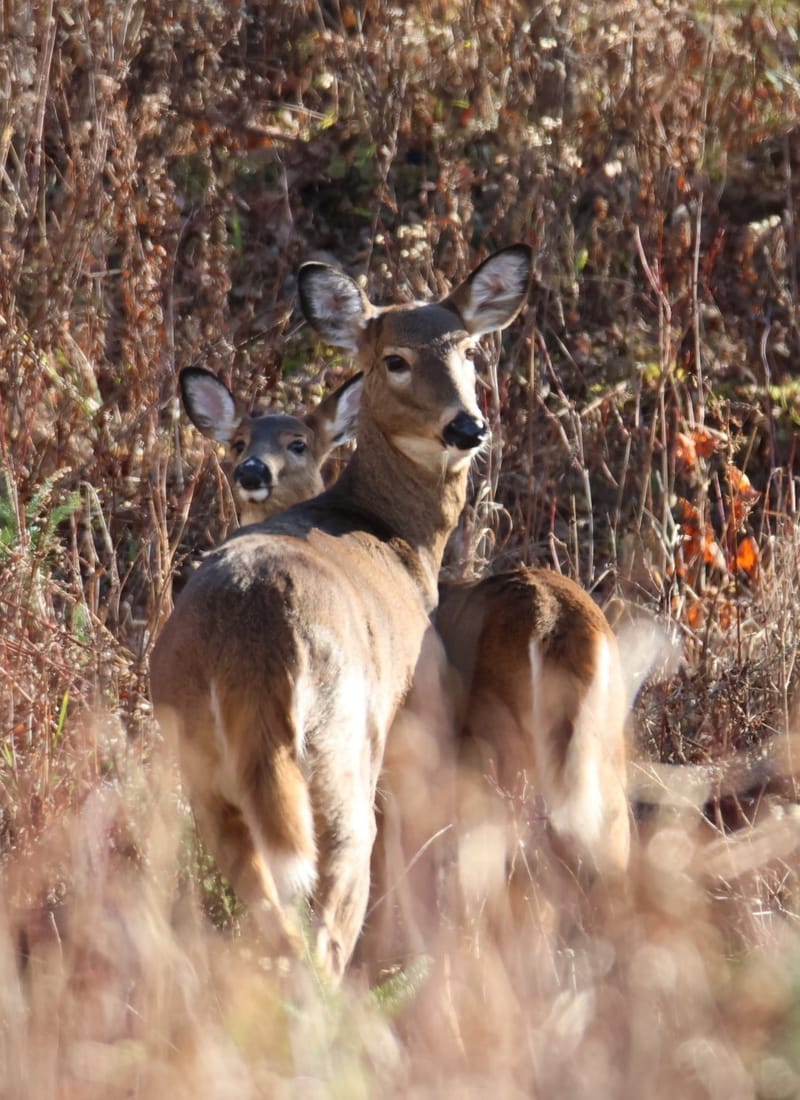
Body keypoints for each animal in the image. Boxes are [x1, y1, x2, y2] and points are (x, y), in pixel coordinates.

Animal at [149, 244, 534, 982]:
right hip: (341, 751)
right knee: (329, 914)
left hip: (202, 768)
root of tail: (256, 636)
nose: (467, 426)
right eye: (396, 359)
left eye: (469, 350)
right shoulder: (421, 719)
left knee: (265, 910)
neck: (394, 533)